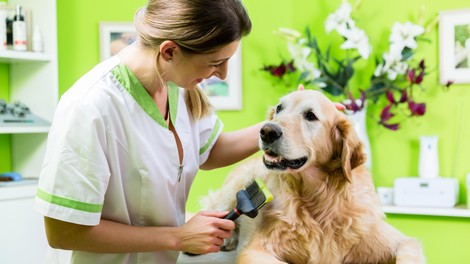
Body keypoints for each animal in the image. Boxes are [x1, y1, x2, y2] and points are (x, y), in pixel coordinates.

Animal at [200, 87, 424, 264]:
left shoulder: (402, 241)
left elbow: (409, 253)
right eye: (279, 108)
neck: (319, 198)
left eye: (310, 116)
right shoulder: (256, 250)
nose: (267, 131)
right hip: (233, 193)